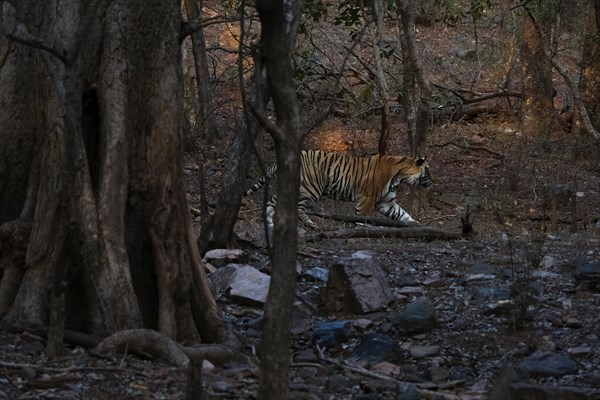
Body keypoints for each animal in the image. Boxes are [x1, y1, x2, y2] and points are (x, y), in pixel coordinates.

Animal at [244, 150, 432, 230]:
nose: (433, 181)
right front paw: (362, 229)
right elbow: (362, 217)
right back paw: (311, 224)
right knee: (298, 208)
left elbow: (403, 215)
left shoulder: (386, 203)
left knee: (271, 203)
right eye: (428, 171)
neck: (399, 178)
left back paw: (269, 223)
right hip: (310, 188)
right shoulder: (367, 198)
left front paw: (418, 226)